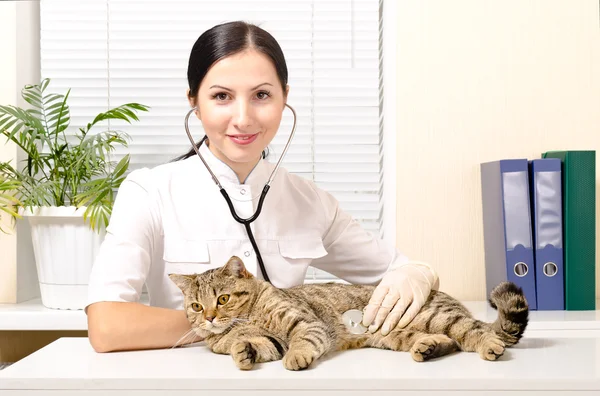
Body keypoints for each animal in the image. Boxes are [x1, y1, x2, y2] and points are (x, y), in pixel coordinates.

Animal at [168, 255, 524, 370]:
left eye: (223, 299)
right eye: (196, 306)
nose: (209, 318)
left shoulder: (305, 323)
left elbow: (301, 342)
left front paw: (297, 358)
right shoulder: (271, 340)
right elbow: (259, 346)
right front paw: (243, 352)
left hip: (439, 317)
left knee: (474, 331)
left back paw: (490, 345)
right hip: (398, 336)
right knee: (449, 341)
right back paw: (428, 347)